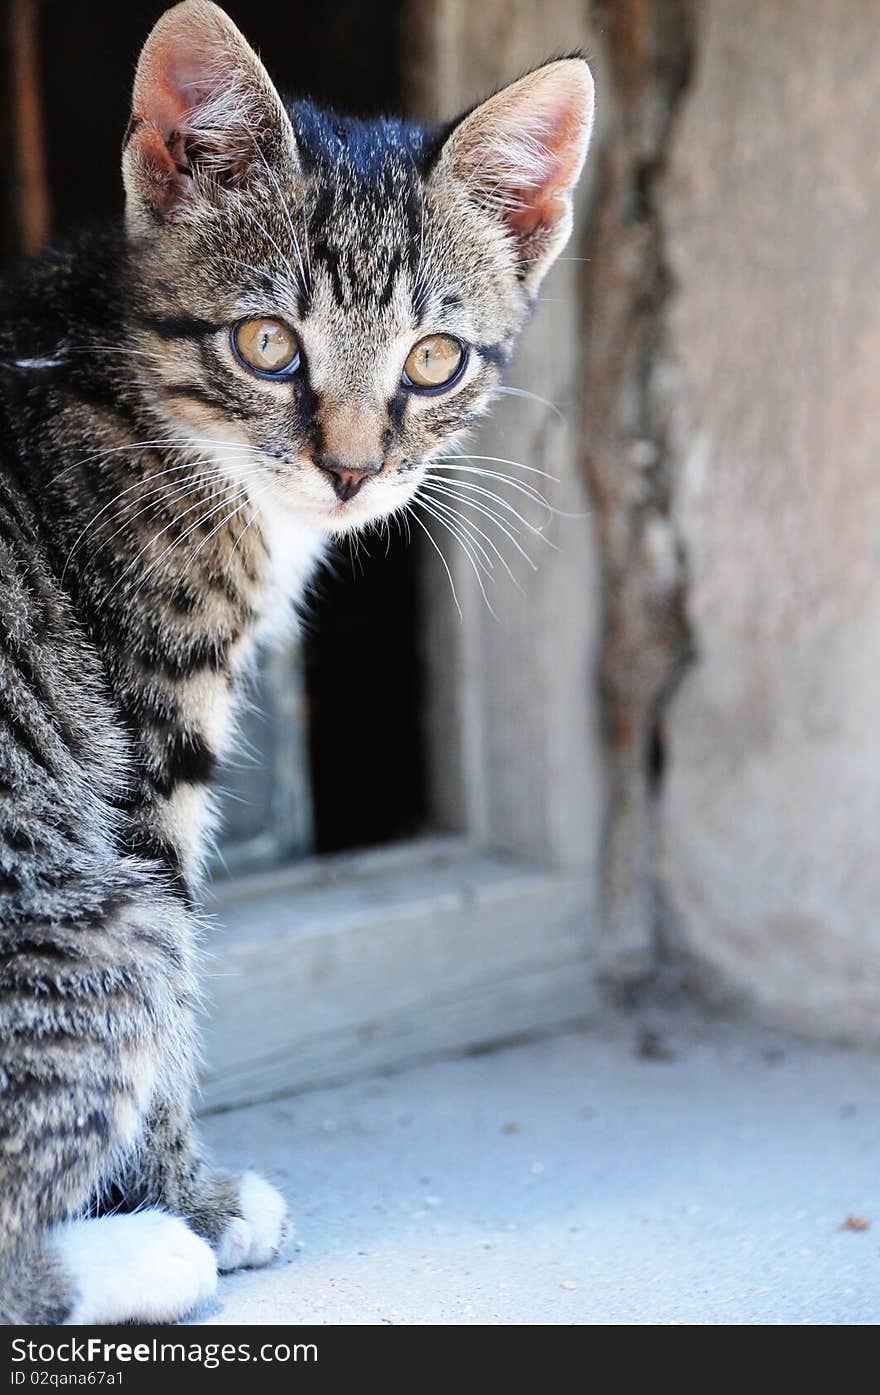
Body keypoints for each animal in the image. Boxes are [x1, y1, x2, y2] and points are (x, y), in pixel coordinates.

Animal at [0, 0, 596, 1322]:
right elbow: (175, 1002)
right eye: (268, 344)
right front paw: (186, 1197)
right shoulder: (147, 737)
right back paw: (137, 1255)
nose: (352, 471)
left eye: (434, 360)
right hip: (99, 919)